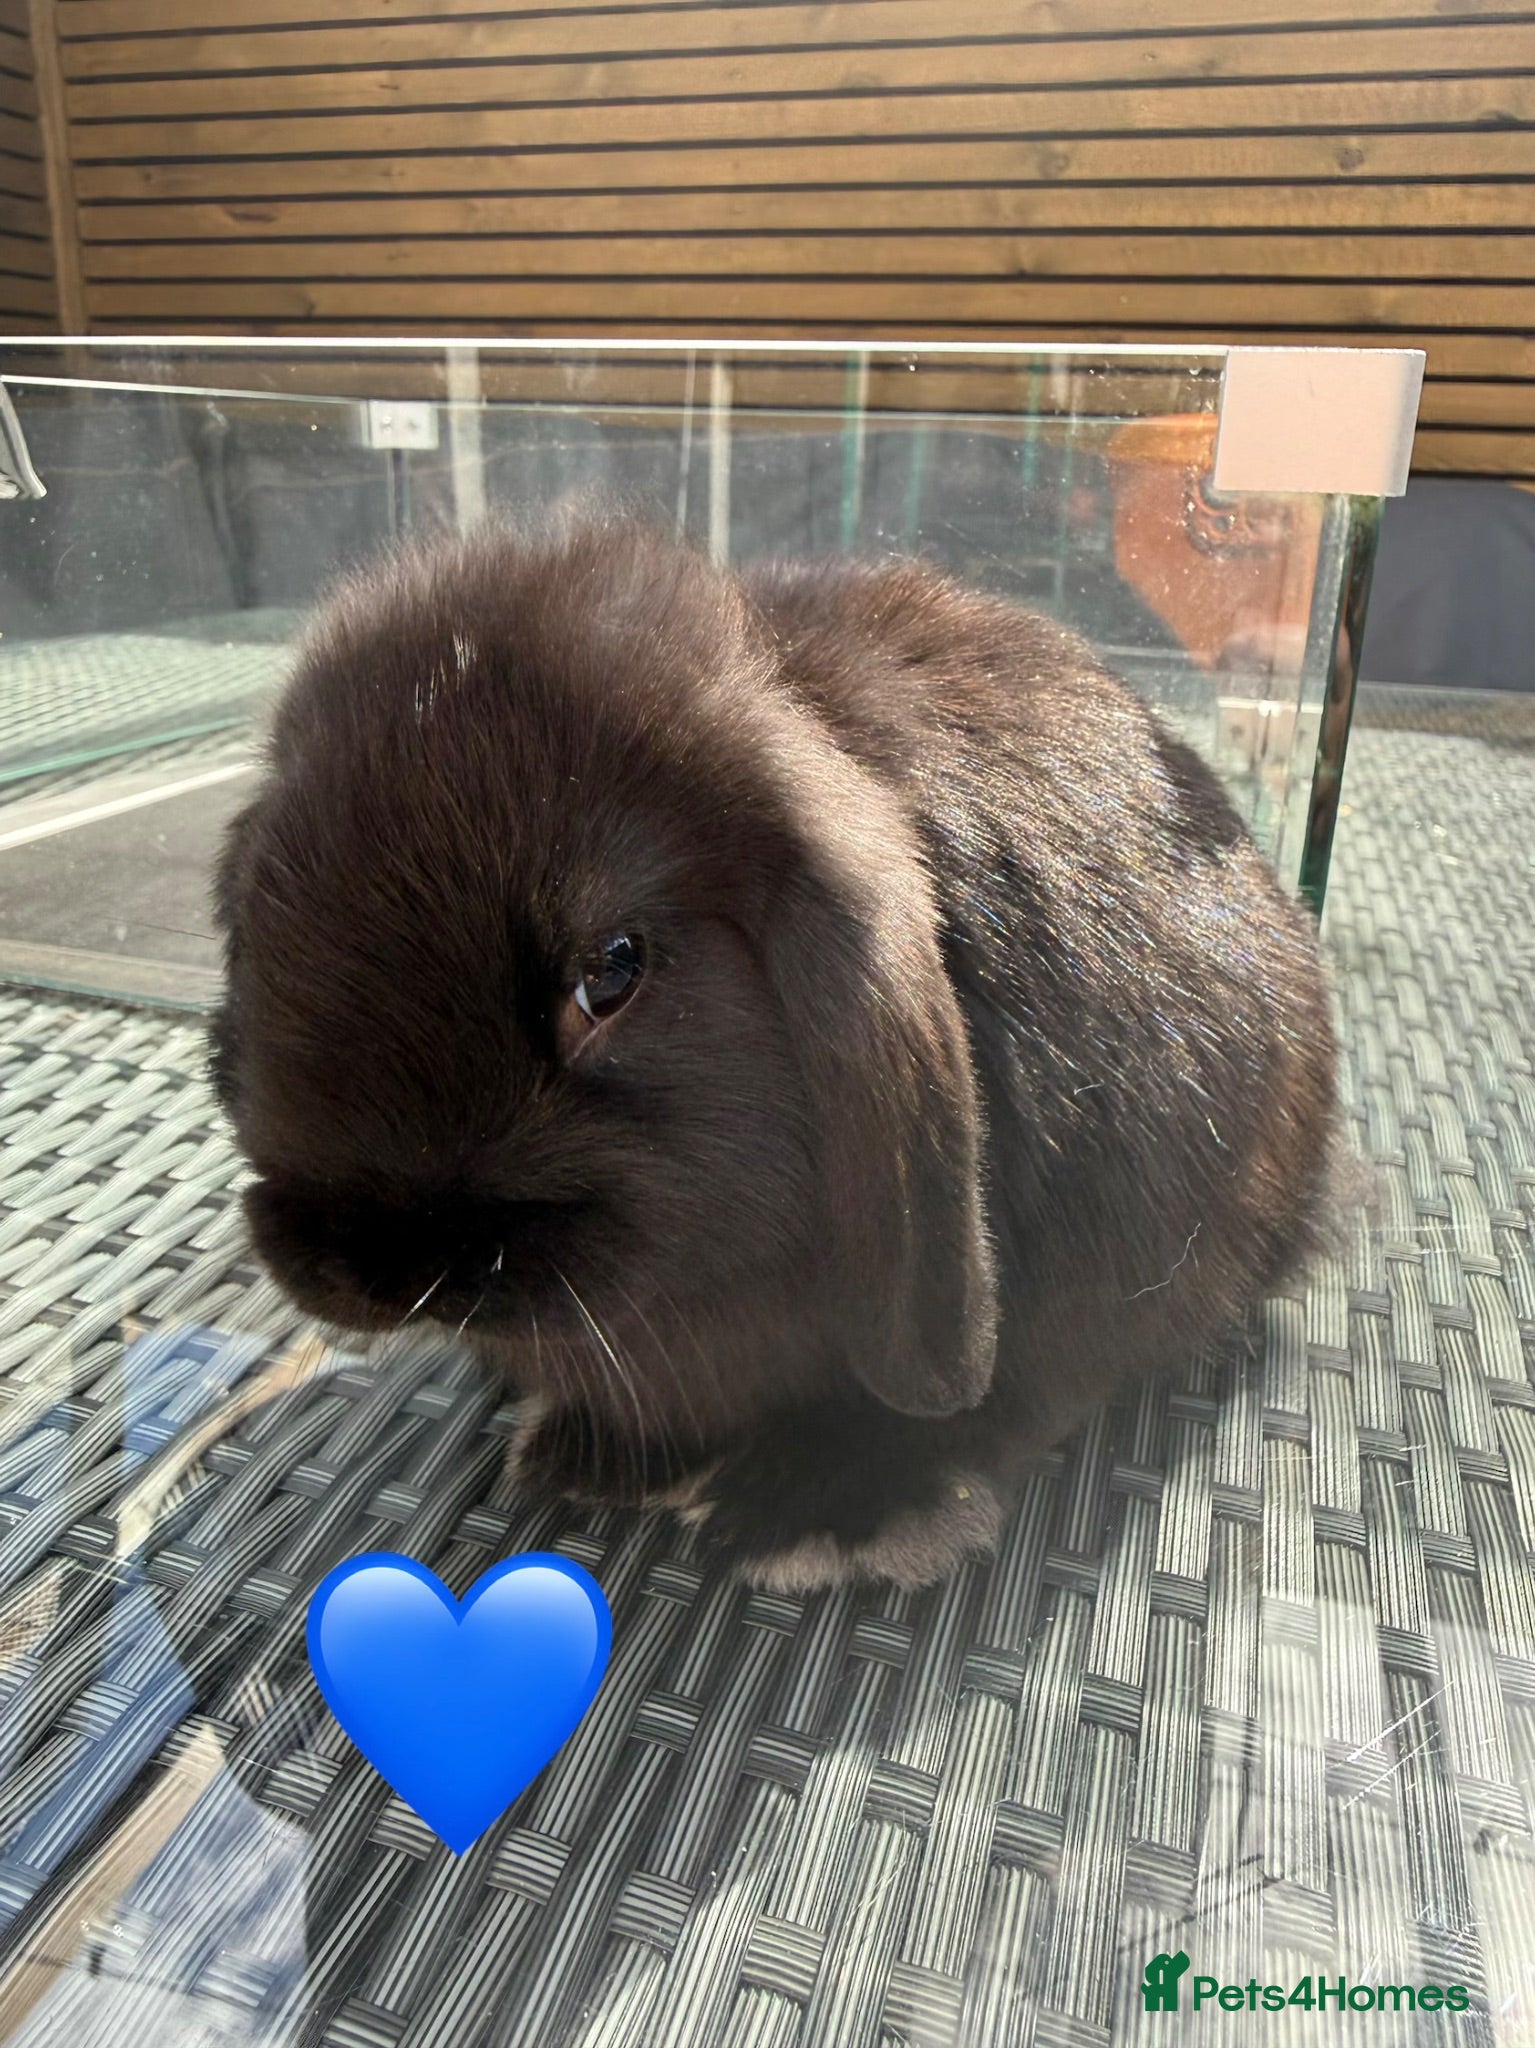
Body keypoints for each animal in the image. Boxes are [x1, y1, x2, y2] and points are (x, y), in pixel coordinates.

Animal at [209, 509, 1345, 1593]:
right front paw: (589, 1454)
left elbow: (991, 1398)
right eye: (263, 919)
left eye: (611, 970)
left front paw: (821, 1513)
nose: (376, 1268)